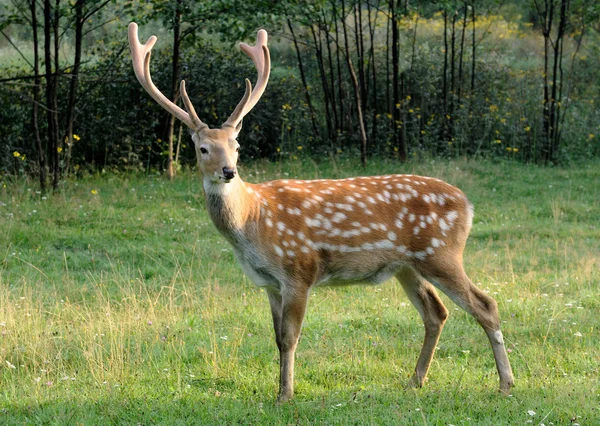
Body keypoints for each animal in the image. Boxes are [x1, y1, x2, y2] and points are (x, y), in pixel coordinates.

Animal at [129, 22, 512, 402]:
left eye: (236, 146)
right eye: (203, 148)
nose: (228, 171)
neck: (252, 221)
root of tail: (468, 204)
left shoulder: (299, 269)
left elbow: (289, 337)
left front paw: (285, 396)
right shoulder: (269, 283)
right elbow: (276, 338)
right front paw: (280, 389)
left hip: (440, 253)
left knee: (486, 305)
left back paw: (506, 383)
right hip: (407, 266)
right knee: (436, 313)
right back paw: (415, 381)